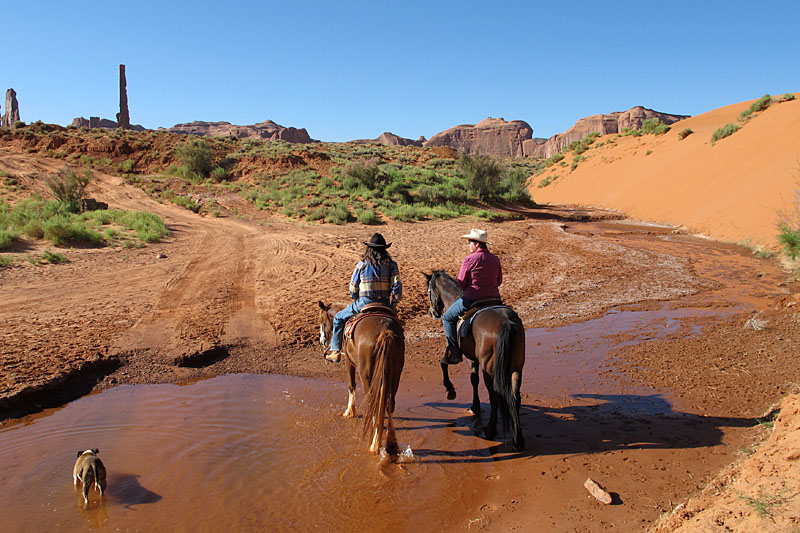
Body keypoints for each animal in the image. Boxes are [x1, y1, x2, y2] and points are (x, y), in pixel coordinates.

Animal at [318, 300, 406, 454]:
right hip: (395, 374)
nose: (321, 340)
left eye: (322, 321)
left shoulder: (349, 362)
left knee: (373, 401)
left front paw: (349, 411)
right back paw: (391, 442)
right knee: (389, 402)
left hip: (366, 375)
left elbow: (351, 385)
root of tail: (385, 331)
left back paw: (374, 442)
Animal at [422, 270, 528, 448]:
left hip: (489, 370)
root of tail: (506, 322)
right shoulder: (474, 359)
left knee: (495, 397)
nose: (433, 313)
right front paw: (475, 405)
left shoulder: (457, 351)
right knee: (515, 396)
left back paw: (490, 431)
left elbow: (444, 364)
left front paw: (450, 391)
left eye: (429, 291)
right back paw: (518, 439)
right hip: (516, 367)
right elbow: (474, 380)